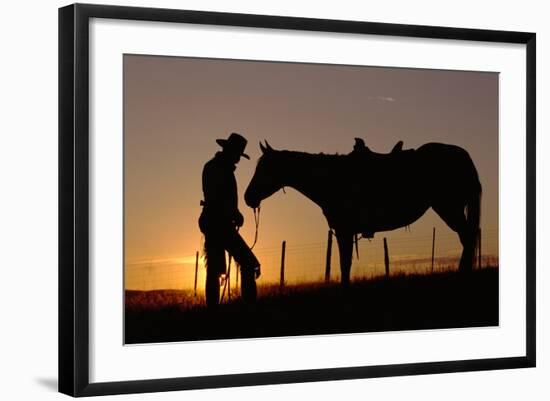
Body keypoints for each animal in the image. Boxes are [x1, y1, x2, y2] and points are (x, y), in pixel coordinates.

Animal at [246, 141, 484, 284]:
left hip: (449, 208)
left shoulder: (344, 230)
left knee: (467, 237)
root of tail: (462, 155)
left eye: (265, 168)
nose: (248, 197)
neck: (329, 178)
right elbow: (346, 263)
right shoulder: (345, 231)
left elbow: (344, 264)